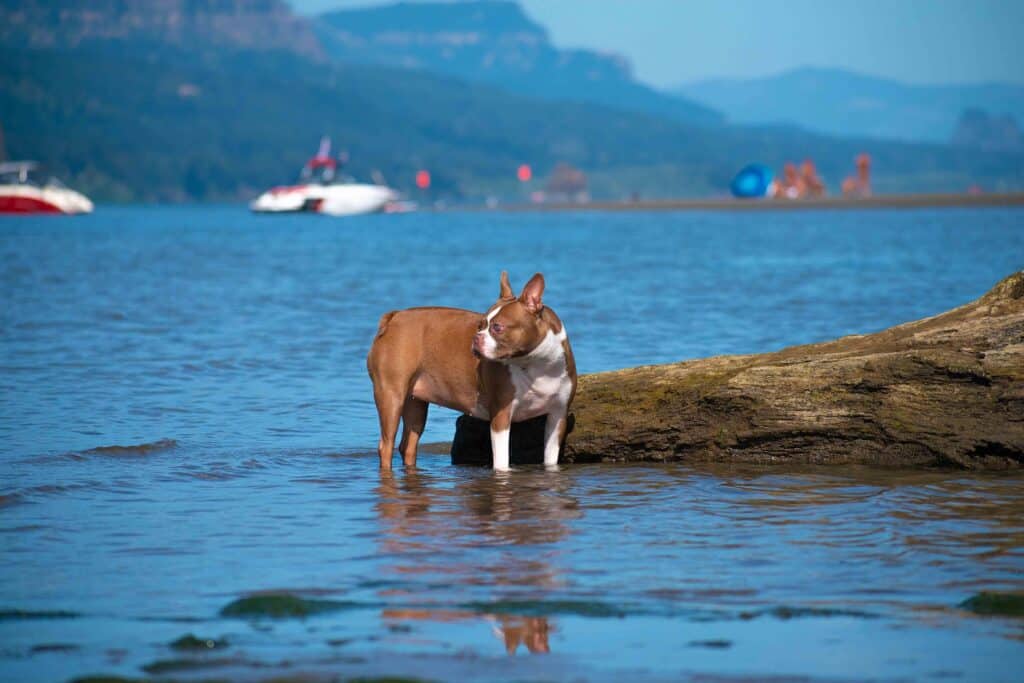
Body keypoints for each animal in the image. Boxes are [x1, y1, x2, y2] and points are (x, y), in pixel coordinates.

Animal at [368, 270, 577, 471]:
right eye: (480, 325)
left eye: (497, 327)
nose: (476, 338)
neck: (536, 364)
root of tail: (395, 316)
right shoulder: (501, 416)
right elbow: (502, 462)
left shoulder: (557, 417)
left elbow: (550, 459)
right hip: (391, 395)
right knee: (386, 446)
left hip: (415, 403)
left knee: (409, 445)